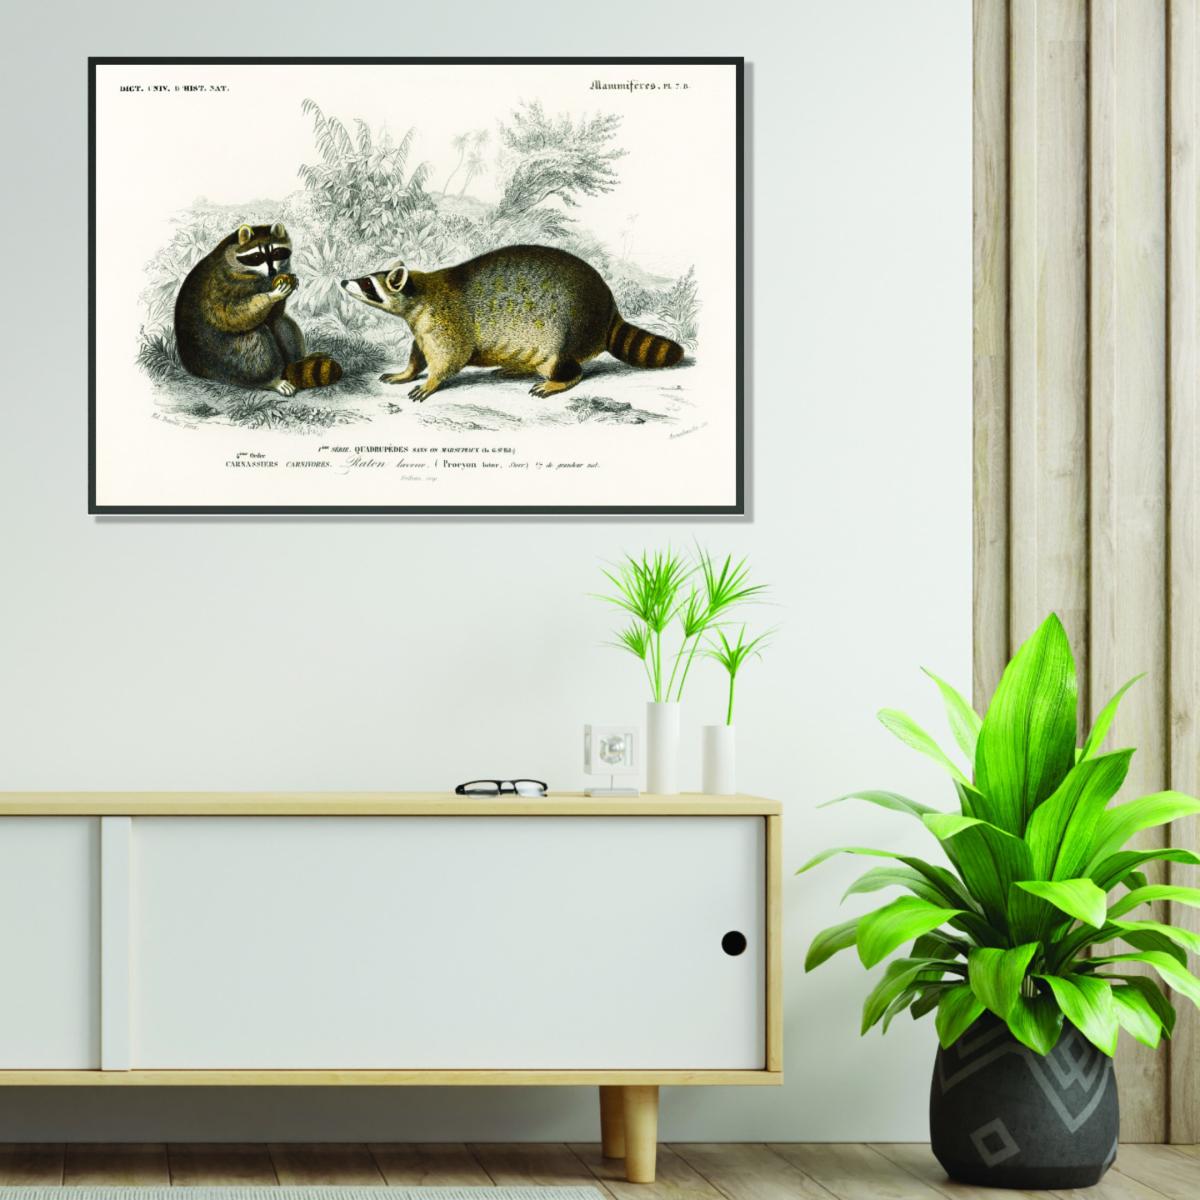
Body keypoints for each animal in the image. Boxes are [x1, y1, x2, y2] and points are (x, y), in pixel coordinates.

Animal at [174, 223, 342, 395]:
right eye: (256, 257)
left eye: (276, 253)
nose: (273, 272)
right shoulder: (220, 285)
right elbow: (231, 315)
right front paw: (272, 295)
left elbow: (275, 315)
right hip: (223, 356)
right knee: (253, 344)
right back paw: (271, 380)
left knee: (282, 323)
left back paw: (298, 360)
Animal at [339, 244, 684, 401]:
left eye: (368, 284)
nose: (343, 281)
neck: (420, 291)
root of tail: (609, 307)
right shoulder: (423, 327)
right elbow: (418, 353)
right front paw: (407, 371)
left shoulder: (446, 320)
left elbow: (451, 356)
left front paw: (430, 382)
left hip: (568, 330)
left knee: (566, 364)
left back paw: (559, 379)